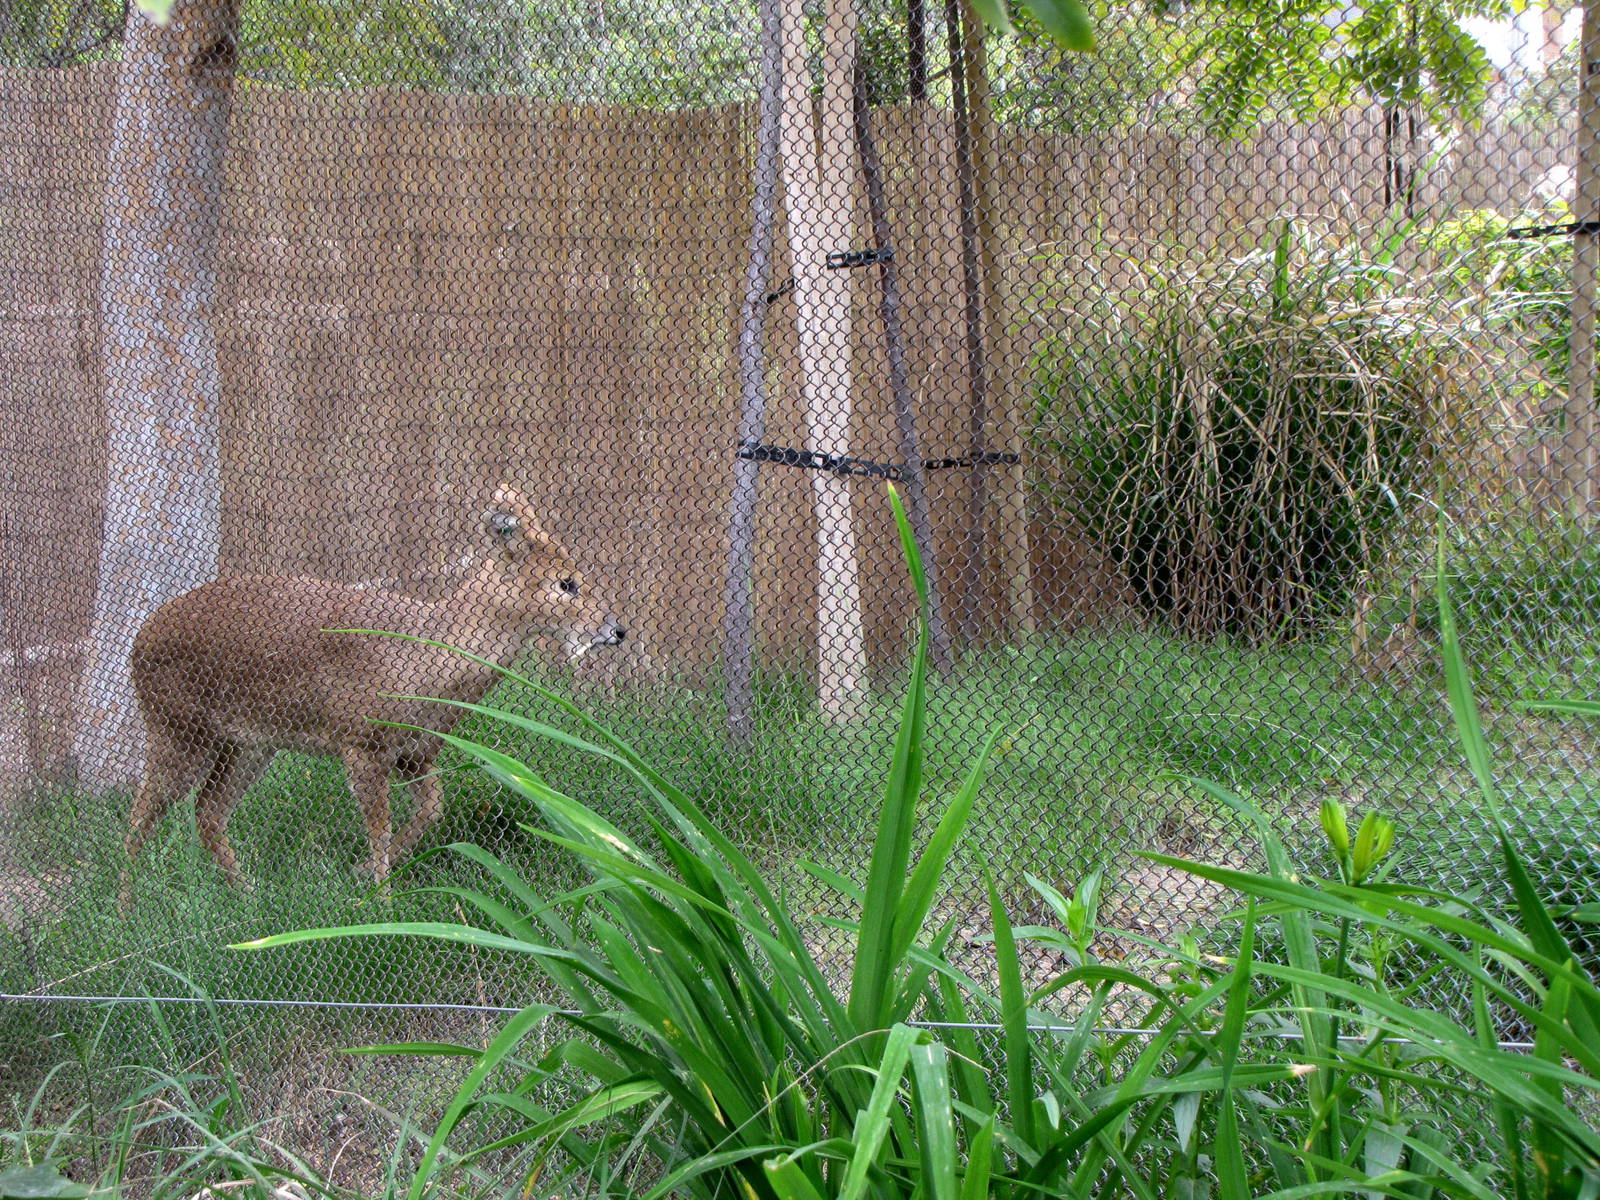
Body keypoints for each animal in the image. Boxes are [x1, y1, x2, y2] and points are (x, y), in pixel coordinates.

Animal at [121, 487, 625, 898]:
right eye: (566, 581)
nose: (617, 629)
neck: (428, 663)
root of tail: (138, 642)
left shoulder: (414, 752)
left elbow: (432, 808)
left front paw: (362, 874)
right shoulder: (361, 740)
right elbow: (379, 826)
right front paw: (382, 904)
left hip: (248, 742)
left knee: (207, 811)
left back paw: (248, 895)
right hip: (176, 726)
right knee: (140, 814)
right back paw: (127, 915)